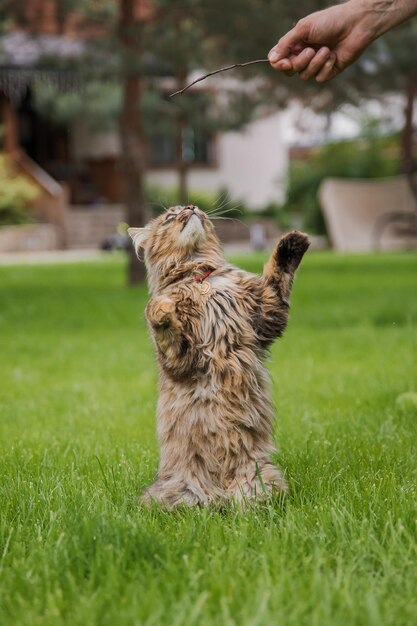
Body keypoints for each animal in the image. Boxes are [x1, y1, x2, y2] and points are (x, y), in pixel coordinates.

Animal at [128, 205, 308, 508]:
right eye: (170, 216)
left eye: (196, 208)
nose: (191, 208)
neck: (201, 278)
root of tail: (218, 495)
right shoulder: (180, 360)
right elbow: (164, 324)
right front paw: (161, 309)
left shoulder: (266, 312)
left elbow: (277, 274)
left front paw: (293, 243)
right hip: (177, 492)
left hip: (260, 480)